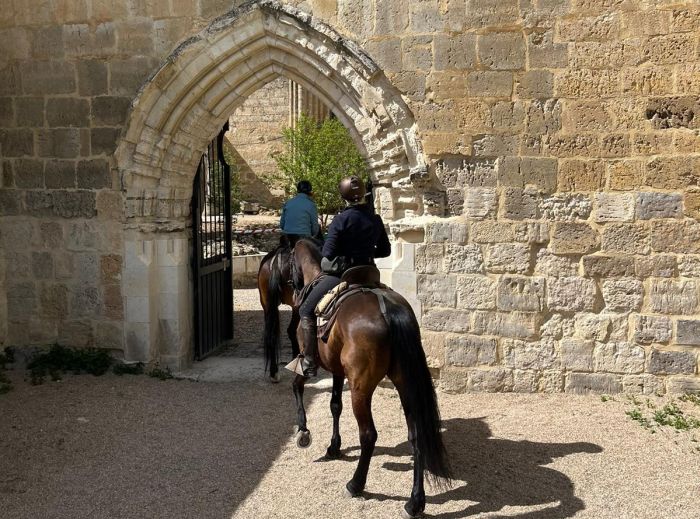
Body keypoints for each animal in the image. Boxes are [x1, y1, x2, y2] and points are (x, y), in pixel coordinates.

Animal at [282, 239, 452, 516]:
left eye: (287, 261)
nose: (292, 291)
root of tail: (389, 308)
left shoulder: (308, 361)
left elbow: (298, 386)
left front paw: (303, 432)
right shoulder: (338, 371)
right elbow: (335, 405)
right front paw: (334, 446)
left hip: (361, 389)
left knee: (369, 435)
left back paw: (356, 484)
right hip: (405, 384)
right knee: (415, 435)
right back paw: (415, 502)